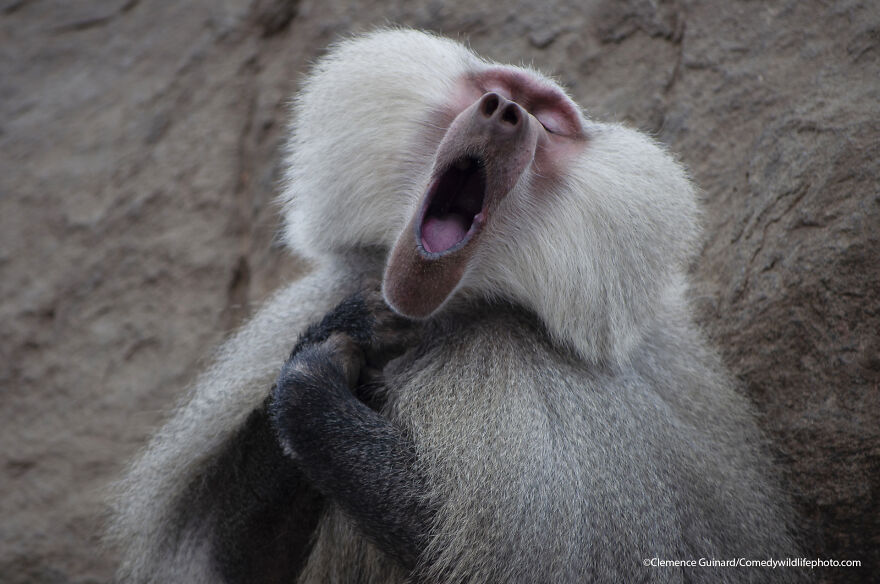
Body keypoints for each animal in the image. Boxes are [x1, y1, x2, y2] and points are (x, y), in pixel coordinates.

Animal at [109, 28, 806, 583]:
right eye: (497, 89)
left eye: (550, 122)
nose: (505, 113)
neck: (439, 314)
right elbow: (247, 563)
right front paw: (348, 331)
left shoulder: (537, 385)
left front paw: (312, 386)